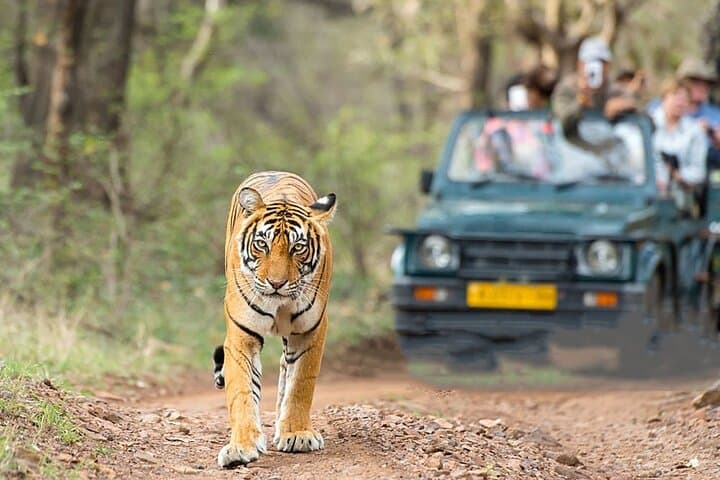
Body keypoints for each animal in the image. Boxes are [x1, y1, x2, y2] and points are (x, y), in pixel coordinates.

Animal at [215, 171, 336, 468]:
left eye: (298, 247)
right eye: (262, 244)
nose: (276, 283)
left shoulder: (310, 331)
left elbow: (301, 383)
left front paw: (297, 434)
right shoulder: (241, 335)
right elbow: (242, 391)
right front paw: (241, 447)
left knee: (285, 369)